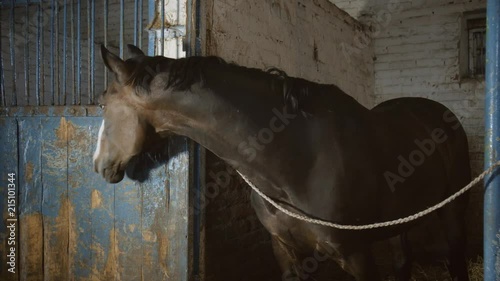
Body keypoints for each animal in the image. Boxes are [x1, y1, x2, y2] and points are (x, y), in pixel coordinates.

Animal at [94, 44, 472, 278]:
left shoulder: (357, 254)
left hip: (453, 208)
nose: (98, 165)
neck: (296, 159)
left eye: (103, 103)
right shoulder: (286, 251)